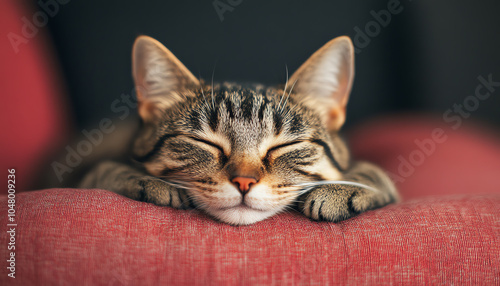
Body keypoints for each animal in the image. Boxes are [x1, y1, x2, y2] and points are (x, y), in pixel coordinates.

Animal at [78, 34, 398, 226]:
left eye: (283, 146)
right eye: (204, 142)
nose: (244, 182)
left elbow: (375, 174)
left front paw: (343, 188)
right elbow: (105, 170)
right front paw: (147, 182)